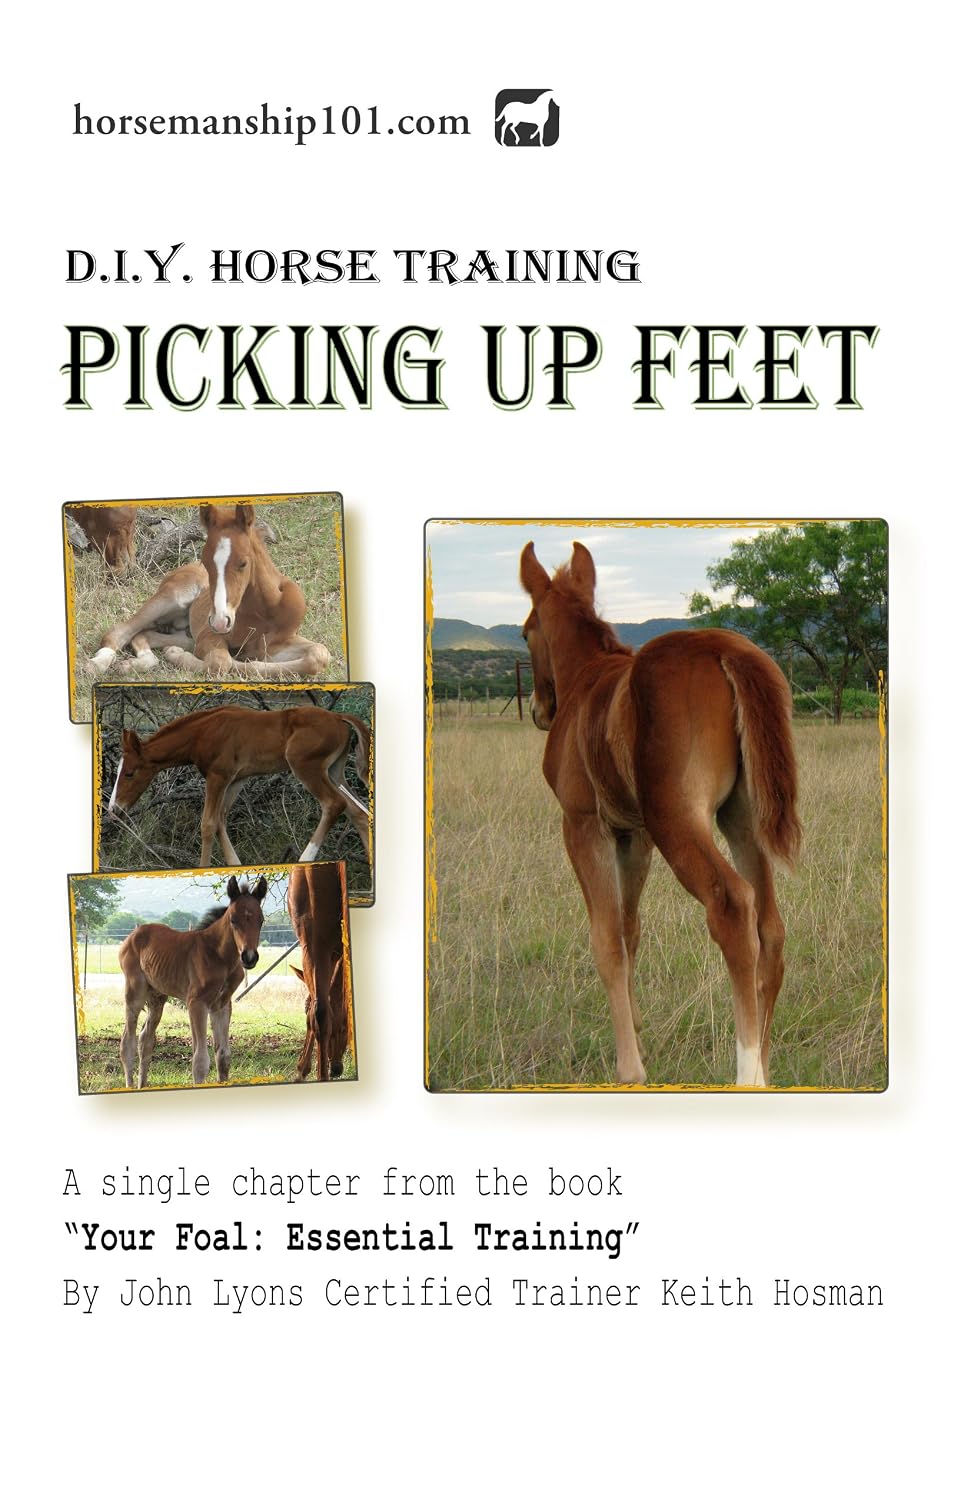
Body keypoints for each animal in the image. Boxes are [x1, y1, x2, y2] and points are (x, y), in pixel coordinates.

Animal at [89, 503, 331, 680]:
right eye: (206, 561)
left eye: (243, 563)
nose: (220, 622)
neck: (265, 612)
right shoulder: (209, 636)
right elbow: (221, 662)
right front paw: (177, 655)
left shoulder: (275, 644)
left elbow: (319, 654)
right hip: (174, 597)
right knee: (119, 631)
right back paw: (97, 664)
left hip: (185, 630)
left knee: (145, 634)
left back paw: (136, 663)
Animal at [107, 703, 371, 866]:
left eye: (129, 773)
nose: (114, 809)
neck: (201, 733)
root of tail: (338, 717)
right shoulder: (236, 780)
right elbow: (221, 820)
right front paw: (235, 866)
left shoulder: (218, 776)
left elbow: (208, 824)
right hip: (335, 772)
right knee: (358, 811)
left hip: (306, 766)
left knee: (334, 804)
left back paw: (305, 859)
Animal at [118, 875, 268, 1088]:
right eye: (233, 920)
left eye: (261, 920)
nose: (249, 957)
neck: (220, 957)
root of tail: (132, 935)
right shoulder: (196, 1003)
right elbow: (200, 1061)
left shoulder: (222, 1005)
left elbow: (223, 1057)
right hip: (135, 993)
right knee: (127, 1042)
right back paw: (130, 1085)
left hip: (157, 997)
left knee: (145, 1040)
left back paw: (142, 1085)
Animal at [520, 541, 801, 1088]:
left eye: (525, 632)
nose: (541, 709)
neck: (587, 677)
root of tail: (724, 648)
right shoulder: (635, 836)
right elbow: (631, 933)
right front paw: (638, 1033)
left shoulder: (584, 826)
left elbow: (607, 941)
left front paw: (630, 1068)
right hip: (741, 817)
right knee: (770, 926)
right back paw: (767, 1068)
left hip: (679, 821)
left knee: (733, 906)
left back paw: (747, 1073)